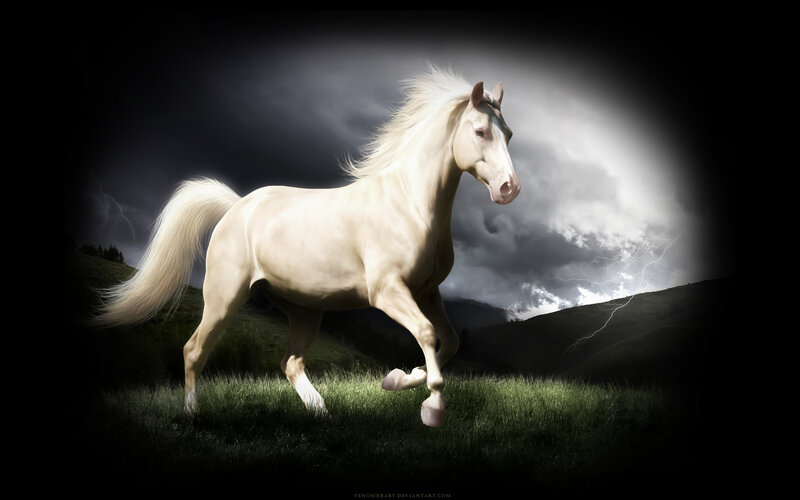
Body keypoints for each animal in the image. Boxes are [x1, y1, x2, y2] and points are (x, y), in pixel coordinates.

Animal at [93, 68, 521, 427]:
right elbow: (429, 335)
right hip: (224, 296)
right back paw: (193, 415)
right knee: (194, 349)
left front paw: (397, 379)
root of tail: (235, 206)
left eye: (509, 134)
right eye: (480, 131)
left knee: (290, 362)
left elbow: (449, 341)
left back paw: (321, 411)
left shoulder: (427, 292)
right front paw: (432, 408)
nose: (509, 189)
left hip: (303, 310)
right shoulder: (388, 292)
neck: (410, 203)